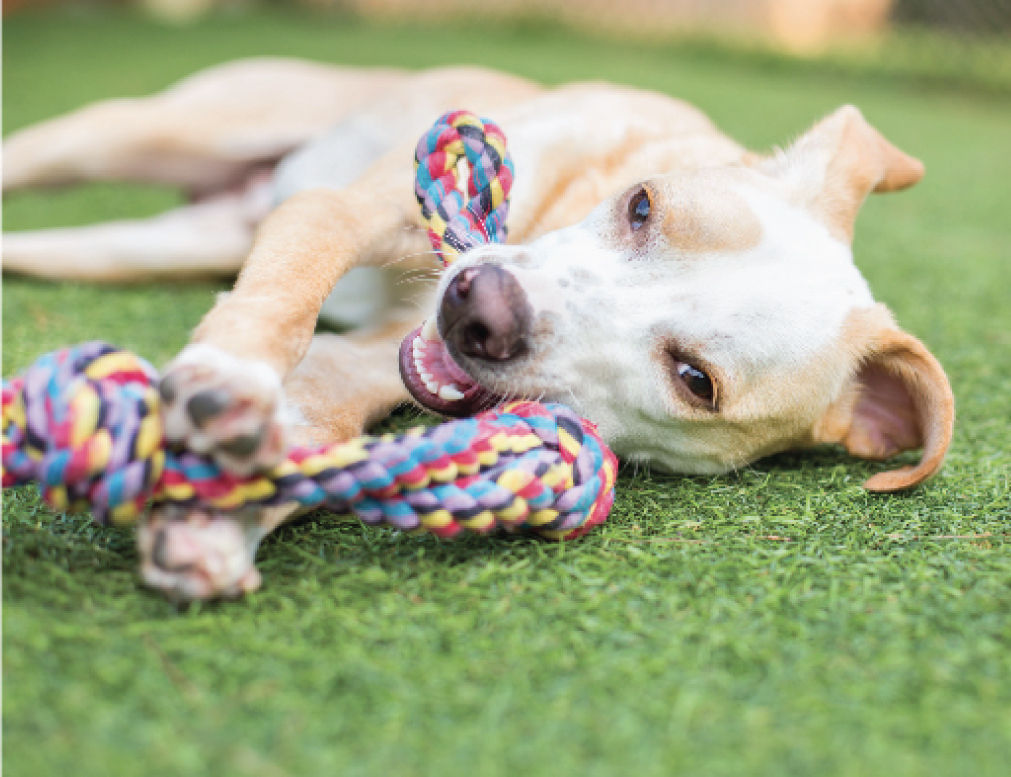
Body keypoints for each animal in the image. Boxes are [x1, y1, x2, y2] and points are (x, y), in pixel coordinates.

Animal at [3, 57, 954, 598]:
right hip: (133, 134)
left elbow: (318, 410)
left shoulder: (380, 359)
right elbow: (283, 298)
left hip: (136, 248)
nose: (478, 308)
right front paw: (226, 378)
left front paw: (215, 517)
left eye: (695, 380)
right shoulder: (339, 212)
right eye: (643, 205)